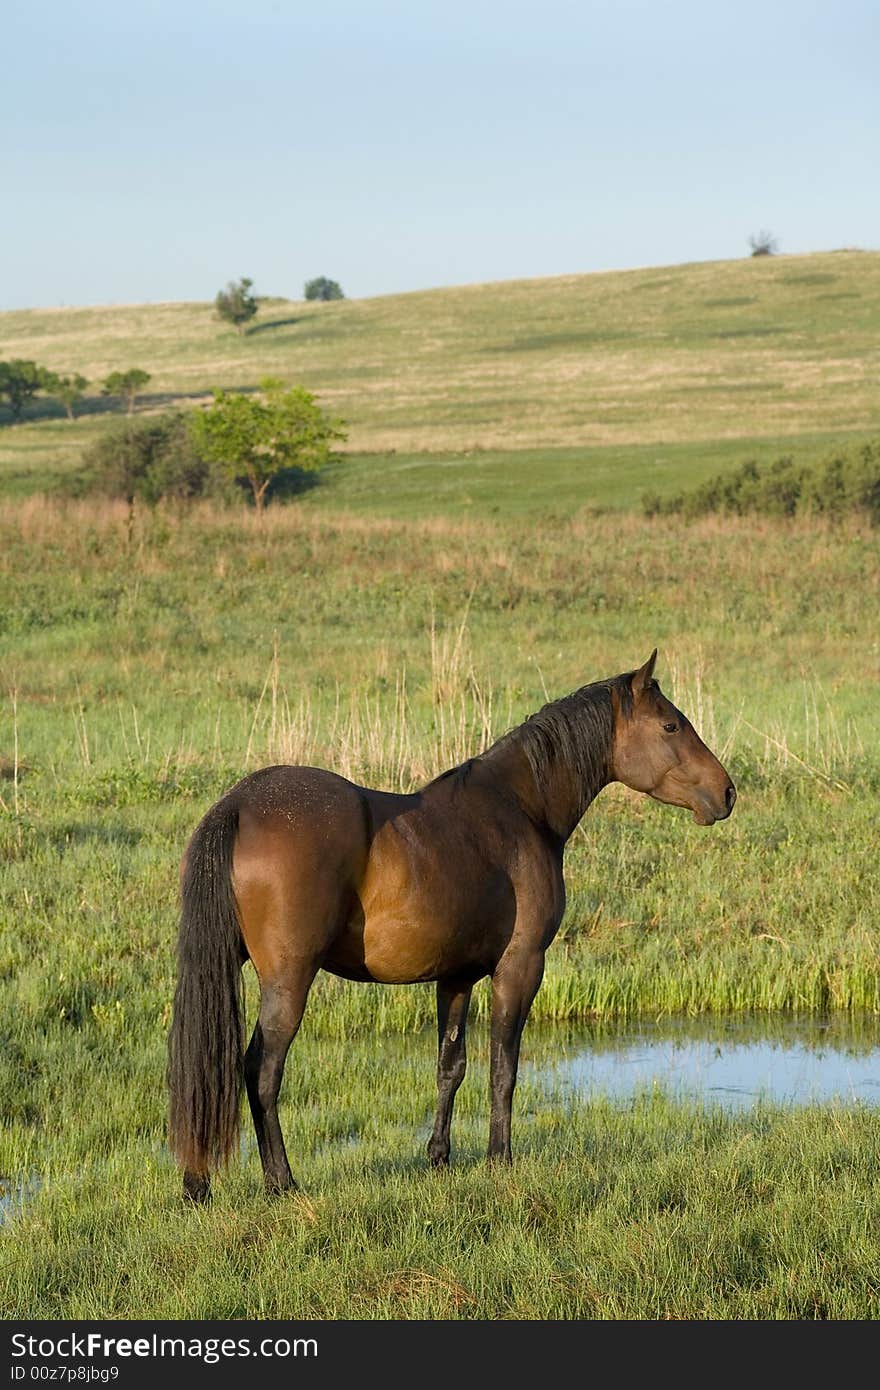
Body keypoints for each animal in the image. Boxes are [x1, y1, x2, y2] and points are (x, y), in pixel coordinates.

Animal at [168, 650, 728, 1206]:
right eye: (671, 725)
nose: (727, 792)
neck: (519, 809)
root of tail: (239, 805)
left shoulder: (455, 976)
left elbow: (450, 1066)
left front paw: (439, 1156)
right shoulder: (520, 967)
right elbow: (504, 1067)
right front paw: (499, 1158)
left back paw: (197, 1183)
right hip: (288, 980)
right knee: (261, 1070)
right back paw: (281, 1181)